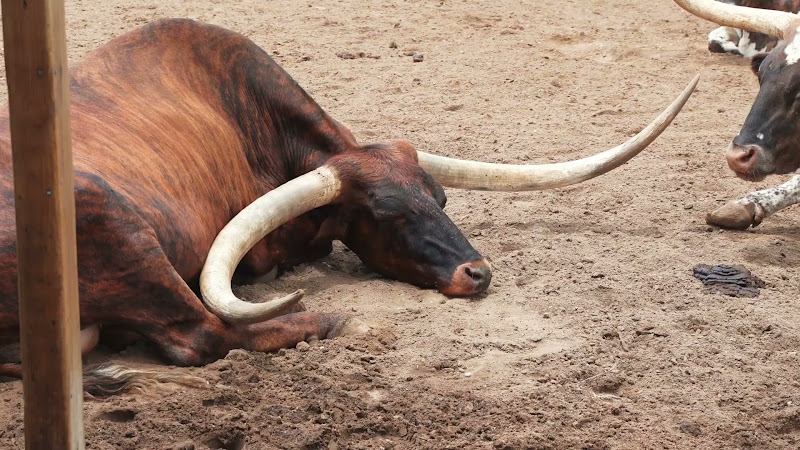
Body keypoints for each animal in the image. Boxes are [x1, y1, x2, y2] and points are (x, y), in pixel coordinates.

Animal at [0, 18, 697, 397]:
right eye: (387, 215)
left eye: (440, 198)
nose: (477, 273)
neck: (245, 116)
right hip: (112, 221)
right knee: (202, 333)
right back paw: (326, 320)